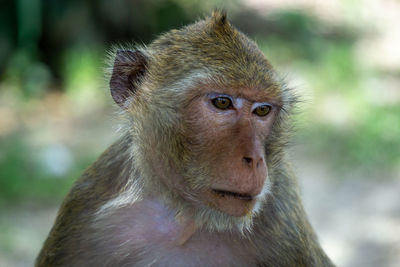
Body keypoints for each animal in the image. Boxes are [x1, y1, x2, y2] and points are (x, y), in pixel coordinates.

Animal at [36, 11, 334, 267]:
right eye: (222, 102)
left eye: (262, 110)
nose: (255, 159)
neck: (183, 219)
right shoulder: (82, 214)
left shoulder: (284, 216)